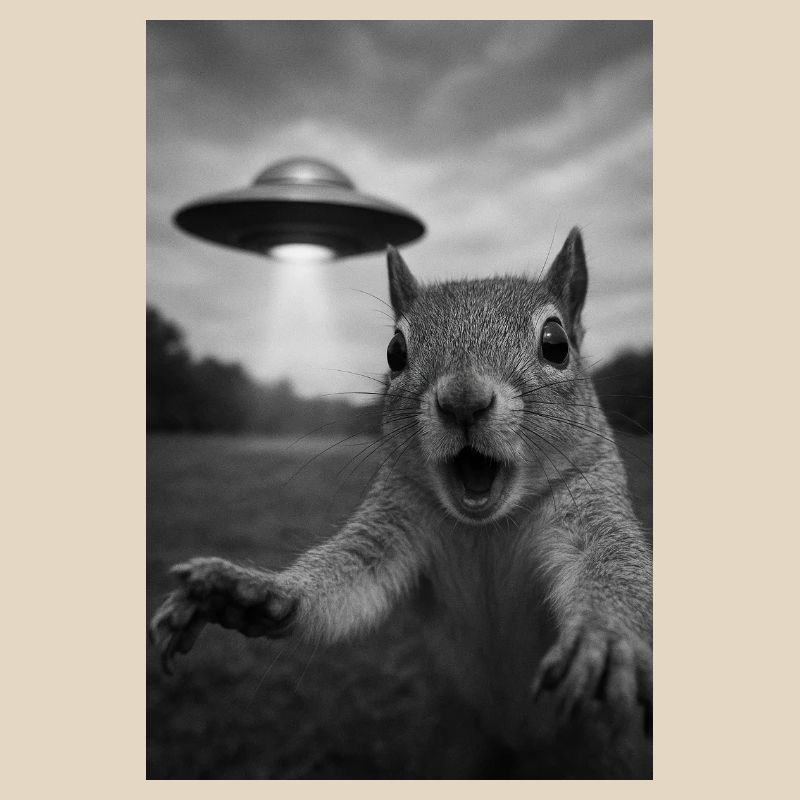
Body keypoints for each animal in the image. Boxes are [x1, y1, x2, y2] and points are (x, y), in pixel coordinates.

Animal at [149, 227, 653, 778]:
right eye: (394, 351)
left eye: (556, 344)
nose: (463, 400)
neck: (487, 527)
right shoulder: (393, 518)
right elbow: (348, 580)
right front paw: (250, 591)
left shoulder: (593, 502)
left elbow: (614, 565)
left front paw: (606, 637)